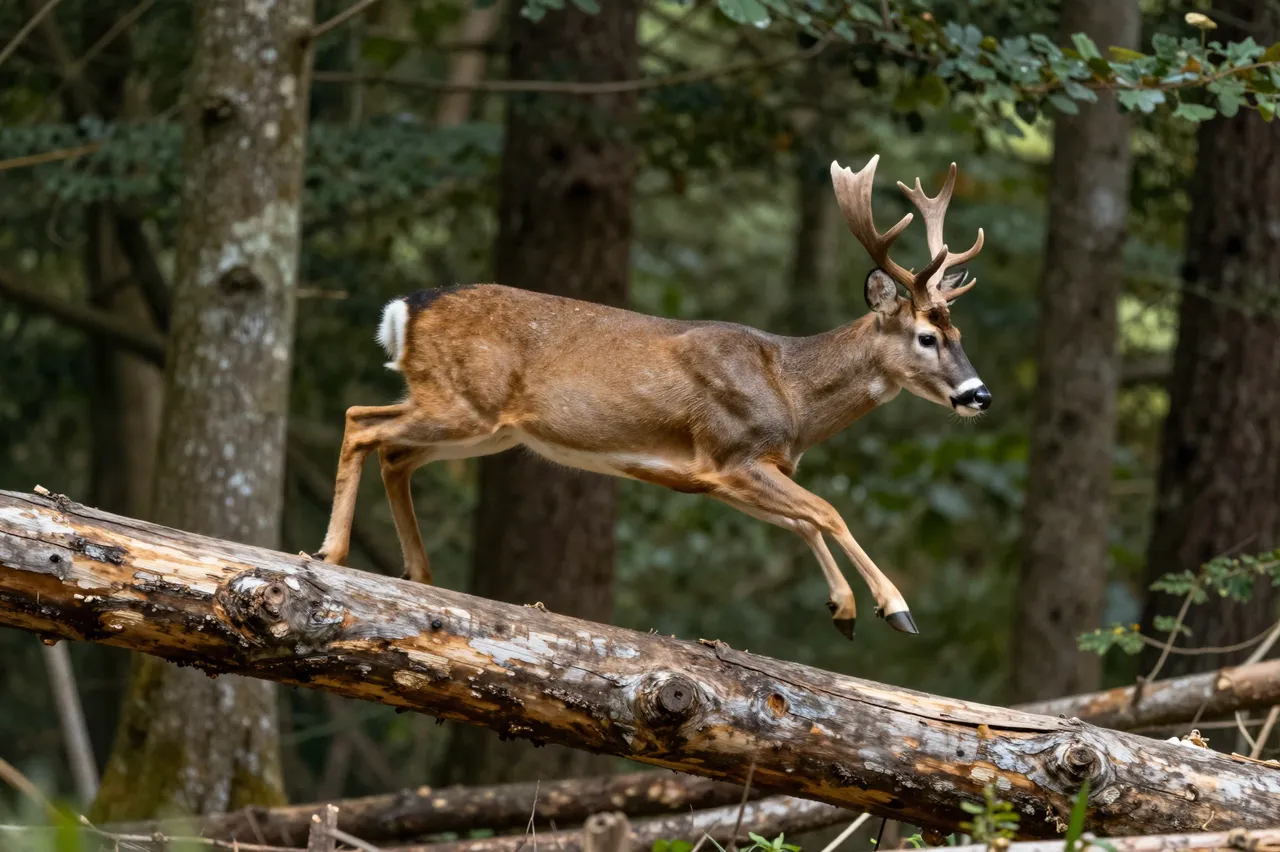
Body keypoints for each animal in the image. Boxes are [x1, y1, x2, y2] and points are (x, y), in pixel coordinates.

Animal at [315, 153, 990, 640]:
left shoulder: (720, 475)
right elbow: (827, 511)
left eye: (960, 335)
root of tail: (404, 309)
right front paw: (894, 607)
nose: (979, 394)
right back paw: (332, 552)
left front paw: (844, 608)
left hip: (484, 428)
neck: (791, 393)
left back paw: (419, 573)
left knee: (392, 450)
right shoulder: (733, 452)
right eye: (927, 337)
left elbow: (803, 521)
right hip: (463, 404)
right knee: (361, 421)